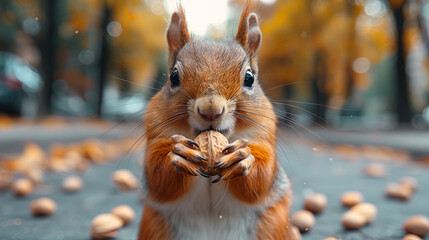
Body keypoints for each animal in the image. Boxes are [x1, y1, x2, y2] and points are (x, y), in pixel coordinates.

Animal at [139, 2, 292, 240]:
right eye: (174, 77)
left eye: (249, 78)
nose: (210, 110)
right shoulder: (155, 129)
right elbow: (158, 178)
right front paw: (180, 154)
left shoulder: (263, 134)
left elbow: (262, 177)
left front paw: (242, 157)